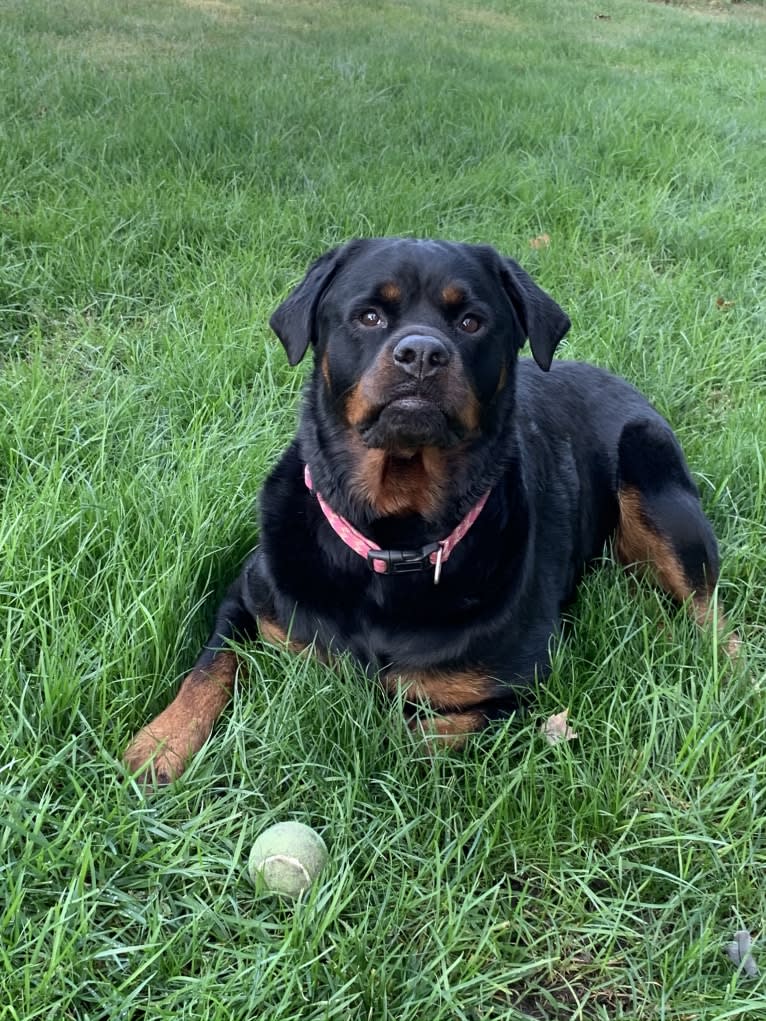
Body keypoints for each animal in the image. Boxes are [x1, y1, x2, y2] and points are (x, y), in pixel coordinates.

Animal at [123, 236, 727, 780]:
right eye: (368, 316)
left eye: (472, 322)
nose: (421, 353)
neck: (392, 537)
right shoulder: (248, 596)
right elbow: (209, 667)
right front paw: (161, 744)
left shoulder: (516, 685)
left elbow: (407, 738)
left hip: (653, 476)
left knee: (709, 609)